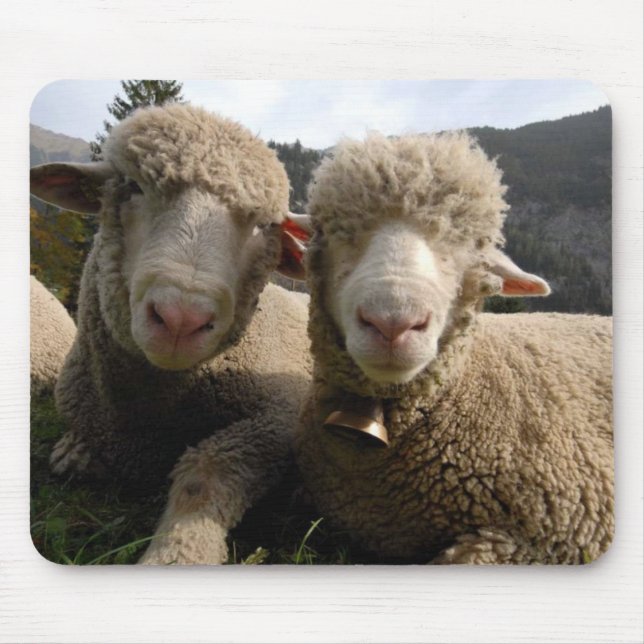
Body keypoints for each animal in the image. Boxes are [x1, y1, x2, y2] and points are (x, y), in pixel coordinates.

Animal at [30, 104, 311, 564]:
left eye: (264, 225)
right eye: (131, 186)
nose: (181, 318)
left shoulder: (282, 416)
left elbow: (206, 471)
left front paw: (176, 554)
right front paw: (75, 452)